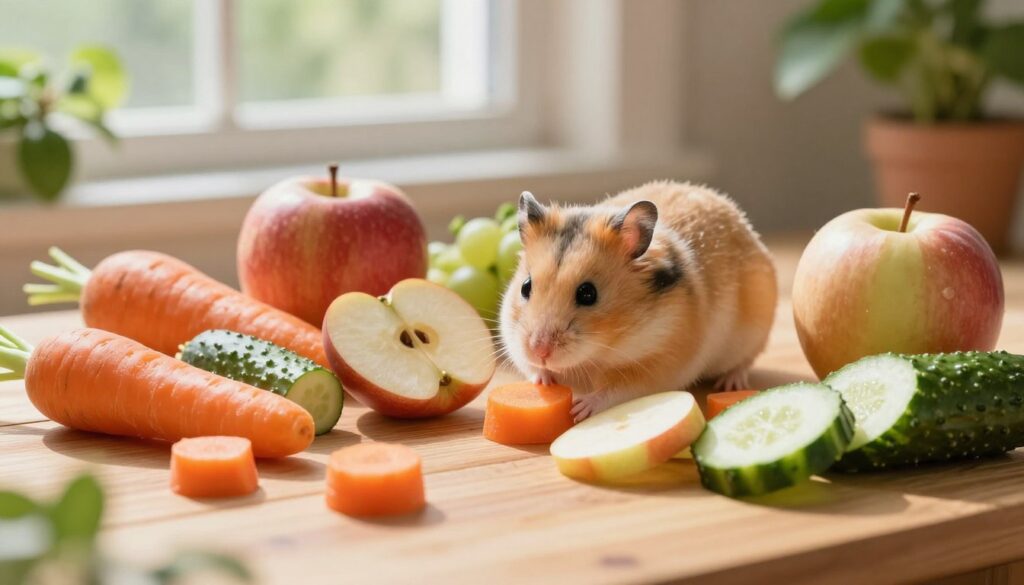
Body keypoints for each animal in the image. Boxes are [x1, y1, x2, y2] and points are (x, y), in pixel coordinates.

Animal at [499, 181, 778, 421]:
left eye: (588, 293)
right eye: (525, 287)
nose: (539, 351)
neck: (598, 353)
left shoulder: (657, 365)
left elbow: (614, 391)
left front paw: (580, 408)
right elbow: (530, 367)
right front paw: (543, 380)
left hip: (755, 331)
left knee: (743, 362)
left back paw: (730, 382)